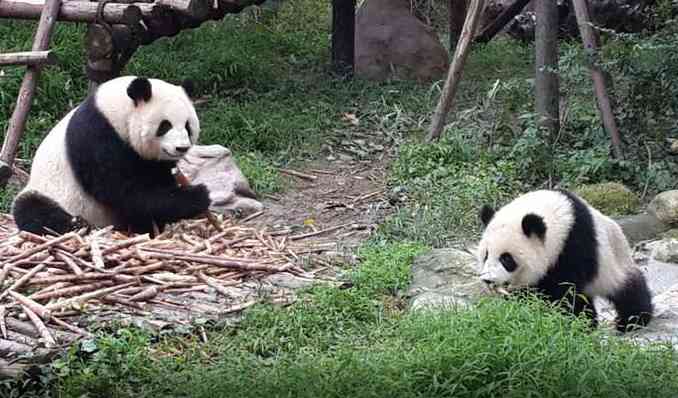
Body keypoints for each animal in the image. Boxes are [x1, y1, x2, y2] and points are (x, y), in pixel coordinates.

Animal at [11, 76, 212, 235]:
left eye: (187, 125)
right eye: (165, 125)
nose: (181, 148)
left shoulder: (153, 161)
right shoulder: (95, 135)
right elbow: (122, 190)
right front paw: (198, 196)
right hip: (49, 191)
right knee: (33, 211)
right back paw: (77, 224)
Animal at [476, 189, 656, 332]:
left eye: (506, 259)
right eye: (486, 255)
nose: (488, 280)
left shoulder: (575, 245)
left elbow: (565, 290)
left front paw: (567, 322)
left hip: (615, 262)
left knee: (628, 290)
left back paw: (631, 321)